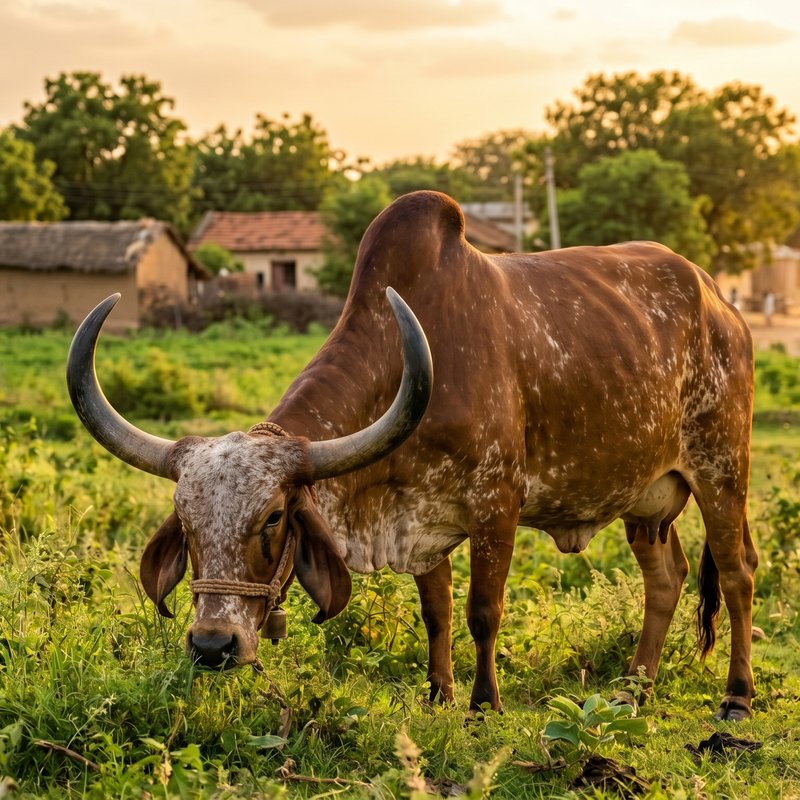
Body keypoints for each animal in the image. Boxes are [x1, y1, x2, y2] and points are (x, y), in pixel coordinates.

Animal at [67, 191, 757, 721]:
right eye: (186, 523)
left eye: (273, 518)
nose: (213, 645)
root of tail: (718, 299)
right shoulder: (422, 521)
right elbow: (436, 613)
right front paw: (438, 696)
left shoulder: (496, 507)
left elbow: (482, 612)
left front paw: (483, 705)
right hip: (647, 499)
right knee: (665, 578)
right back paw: (632, 691)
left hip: (722, 470)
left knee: (738, 573)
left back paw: (737, 697)